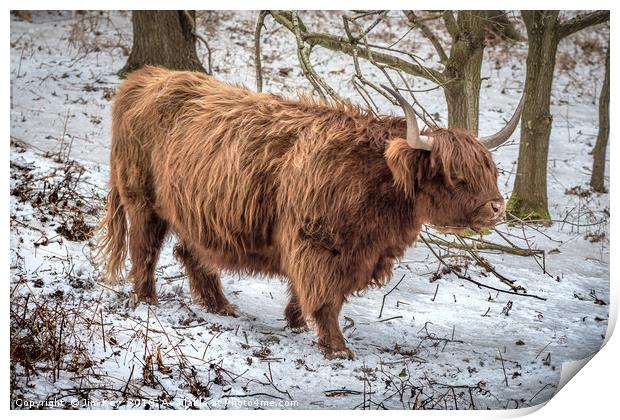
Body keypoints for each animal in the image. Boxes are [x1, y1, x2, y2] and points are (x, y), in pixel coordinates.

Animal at [98, 67, 524, 360]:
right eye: (456, 175)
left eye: (489, 170)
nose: (497, 207)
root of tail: (146, 77)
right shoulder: (317, 242)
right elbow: (324, 296)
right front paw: (336, 348)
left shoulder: (351, 252)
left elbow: (308, 291)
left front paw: (295, 321)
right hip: (142, 200)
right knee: (144, 251)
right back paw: (148, 301)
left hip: (195, 210)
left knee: (191, 253)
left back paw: (222, 306)